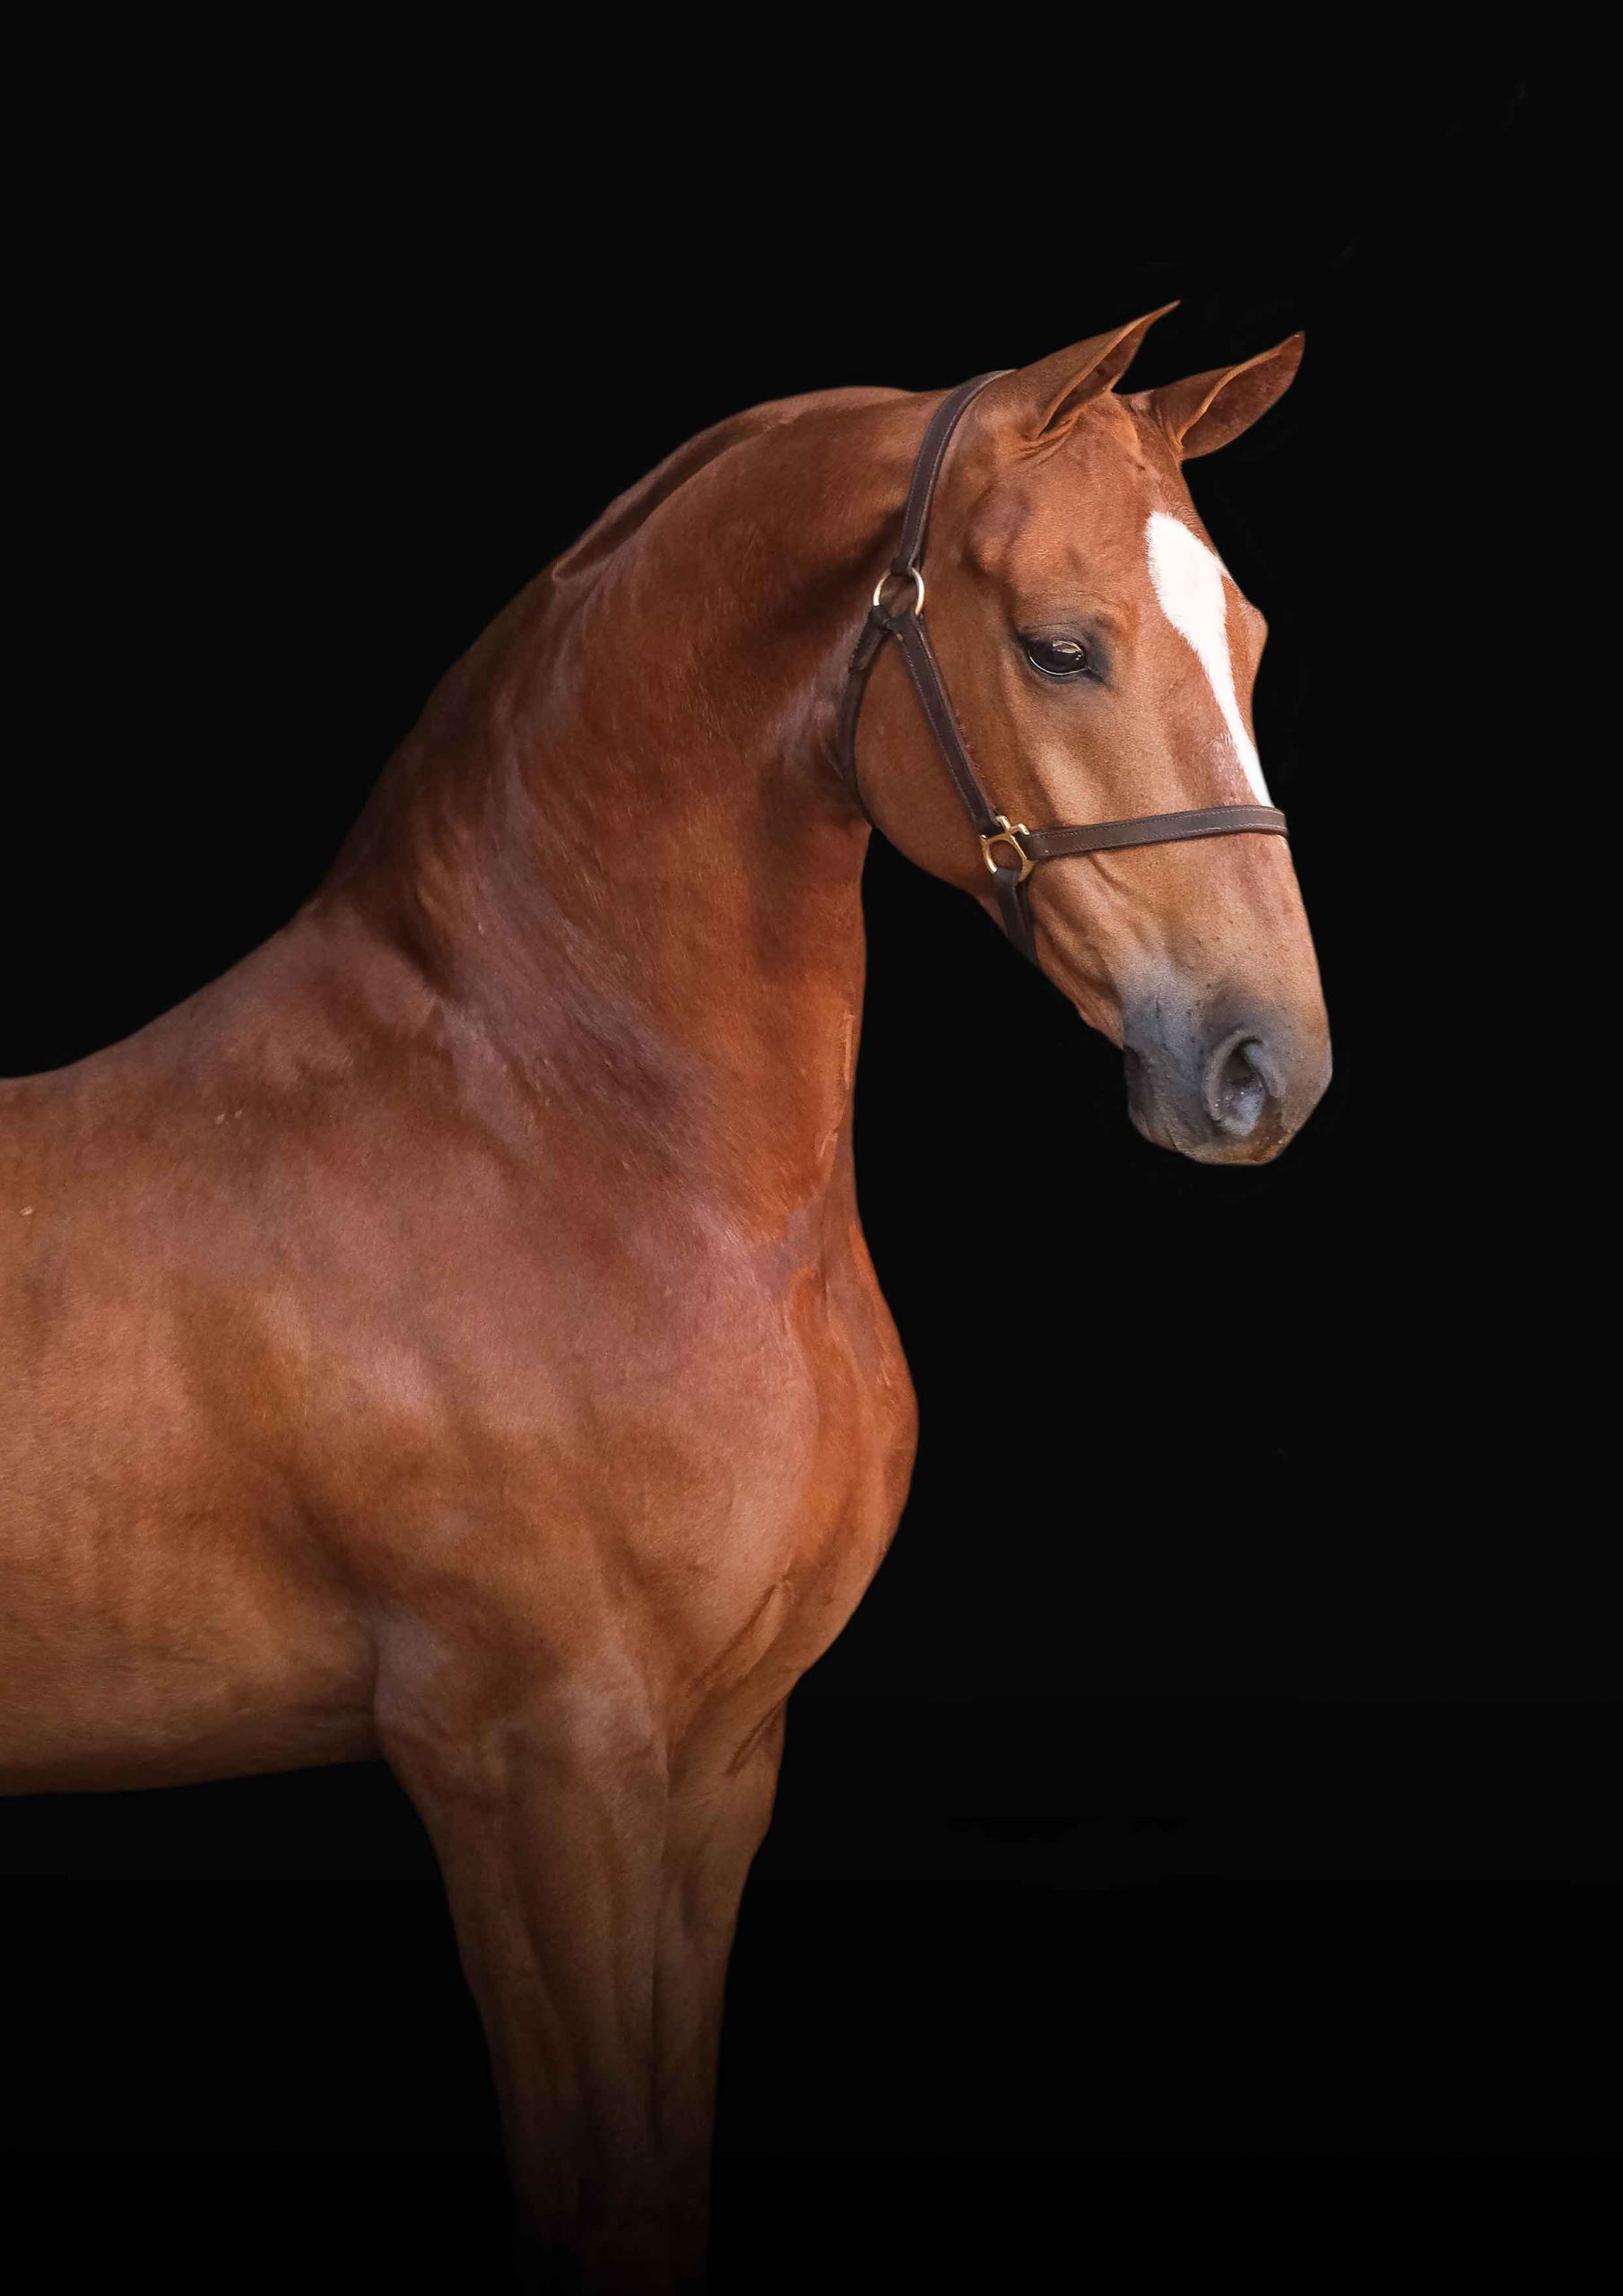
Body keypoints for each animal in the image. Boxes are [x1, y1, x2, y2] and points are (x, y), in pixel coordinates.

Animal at [0, 305, 1329, 2291]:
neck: (553, 1129)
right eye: (1058, 644)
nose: (1265, 1066)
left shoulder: (716, 1765)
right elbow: (599, 2201)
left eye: (1239, 639)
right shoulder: (531, 1772)